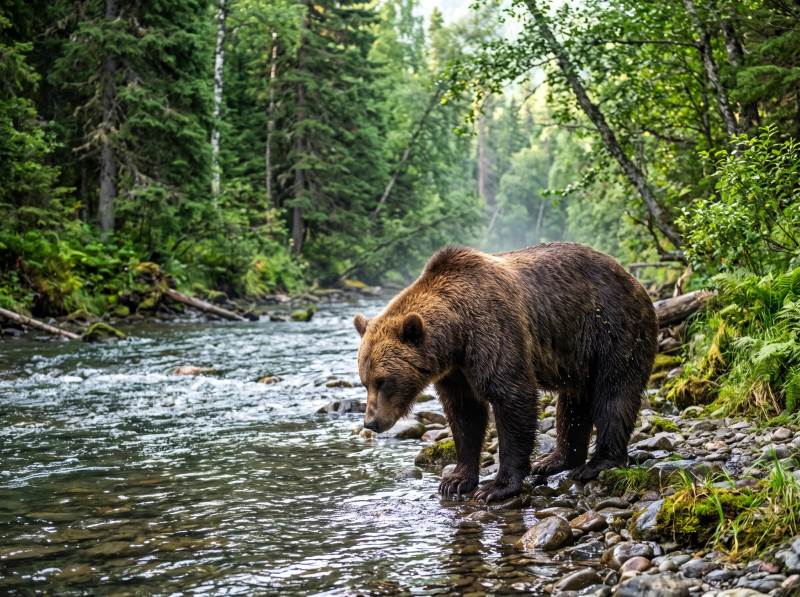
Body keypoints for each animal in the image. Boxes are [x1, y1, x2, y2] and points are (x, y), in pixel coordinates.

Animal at [353, 243, 658, 502]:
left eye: (384, 381)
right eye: (365, 382)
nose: (371, 422)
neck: (456, 335)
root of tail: (633, 280)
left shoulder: (495, 331)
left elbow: (512, 397)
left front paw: (497, 487)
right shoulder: (457, 371)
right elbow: (465, 414)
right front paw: (455, 480)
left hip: (612, 330)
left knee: (614, 393)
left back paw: (597, 463)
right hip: (578, 354)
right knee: (573, 403)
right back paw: (555, 460)